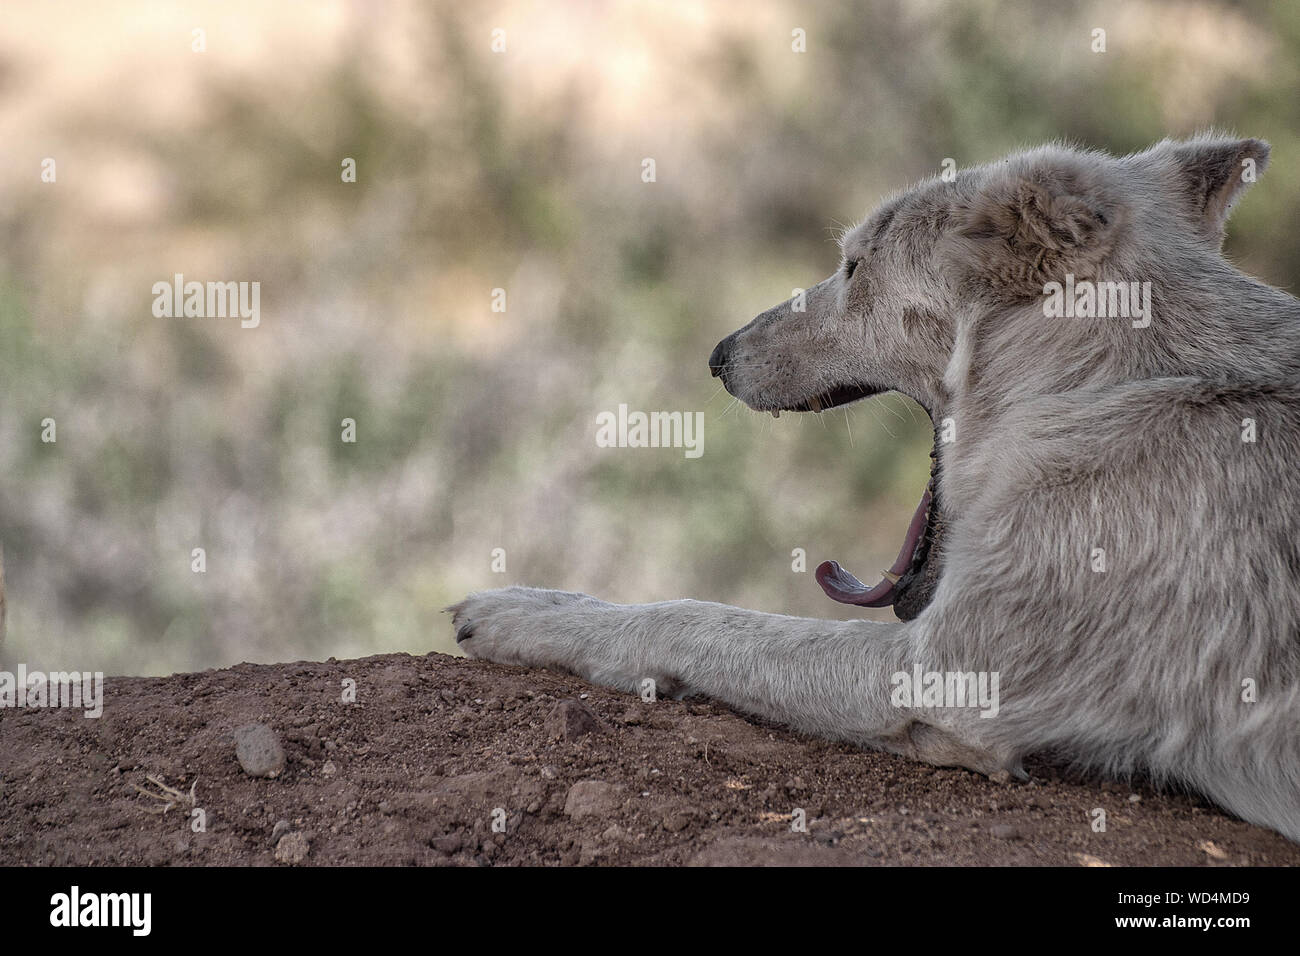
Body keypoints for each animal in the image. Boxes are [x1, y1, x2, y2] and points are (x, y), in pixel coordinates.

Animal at [454, 136, 1300, 842]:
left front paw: (520, 613)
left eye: (854, 267)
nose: (719, 355)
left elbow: (695, 618)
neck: (1114, 386)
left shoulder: (940, 677)